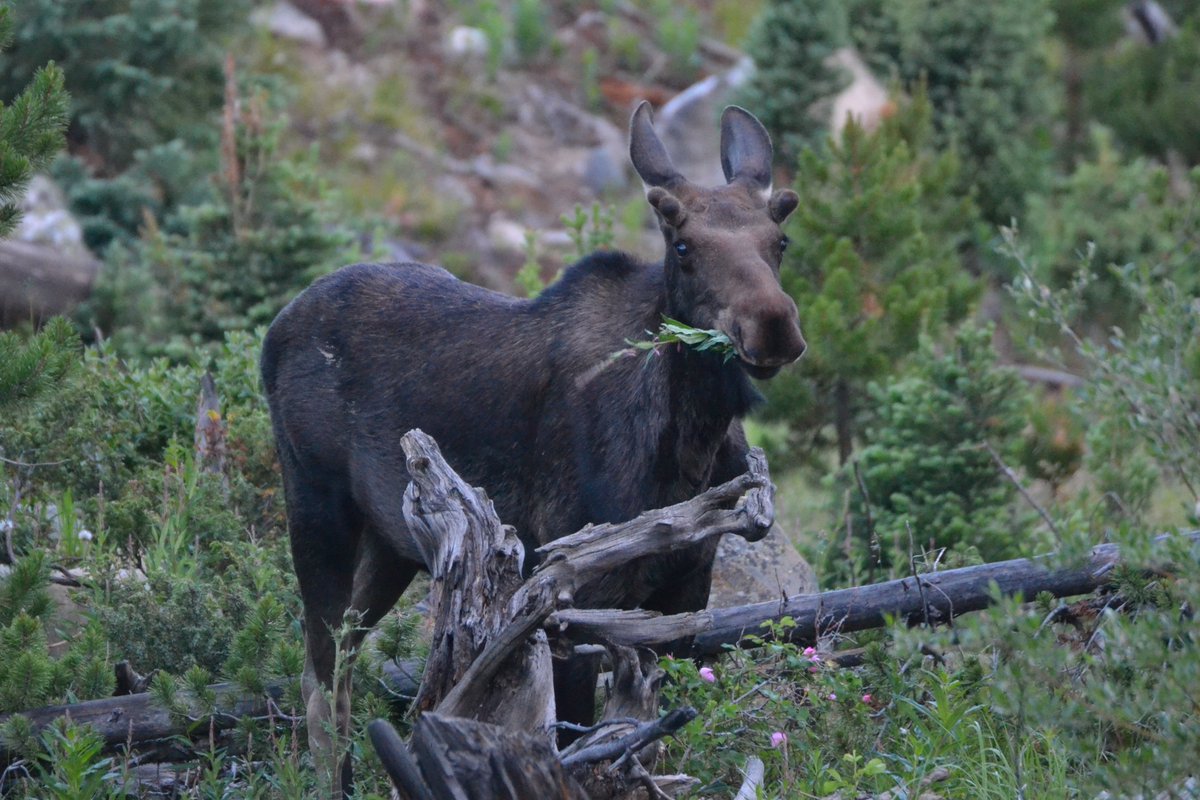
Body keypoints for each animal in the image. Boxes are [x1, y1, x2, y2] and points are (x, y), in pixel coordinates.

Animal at [260, 101, 806, 796]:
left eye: (779, 241)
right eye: (683, 246)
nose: (774, 325)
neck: (690, 447)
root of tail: (273, 331)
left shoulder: (686, 594)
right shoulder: (576, 598)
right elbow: (580, 741)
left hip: (392, 542)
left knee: (340, 653)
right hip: (314, 502)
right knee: (323, 663)